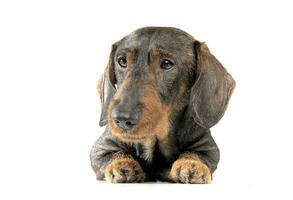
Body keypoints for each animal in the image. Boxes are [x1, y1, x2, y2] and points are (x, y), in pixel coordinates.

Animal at [90, 27, 234, 184]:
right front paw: (122, 164)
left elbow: (196, 153)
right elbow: (113, 154)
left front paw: (191, 164)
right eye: (121, 61)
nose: (121, 119)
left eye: (166, 63)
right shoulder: (101, 147)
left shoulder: (209, 147)